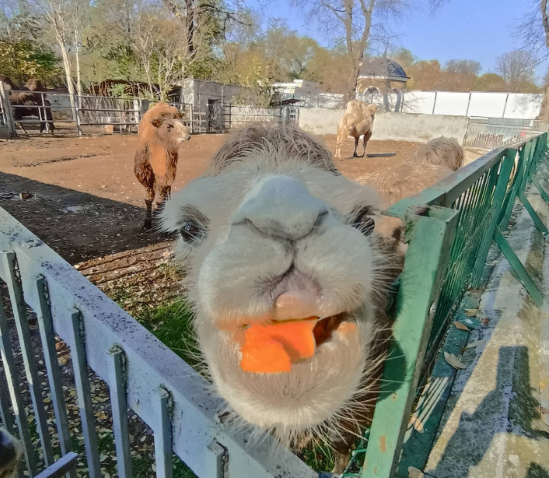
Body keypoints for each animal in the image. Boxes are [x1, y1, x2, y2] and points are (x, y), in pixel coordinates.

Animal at [133, 101, 191, 230]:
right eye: (168, 126)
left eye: (183, 122)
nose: (188, 134)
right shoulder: (145, 173)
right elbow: (148, 198)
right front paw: (147, 223)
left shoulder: (165, 169)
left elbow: (161, 198)